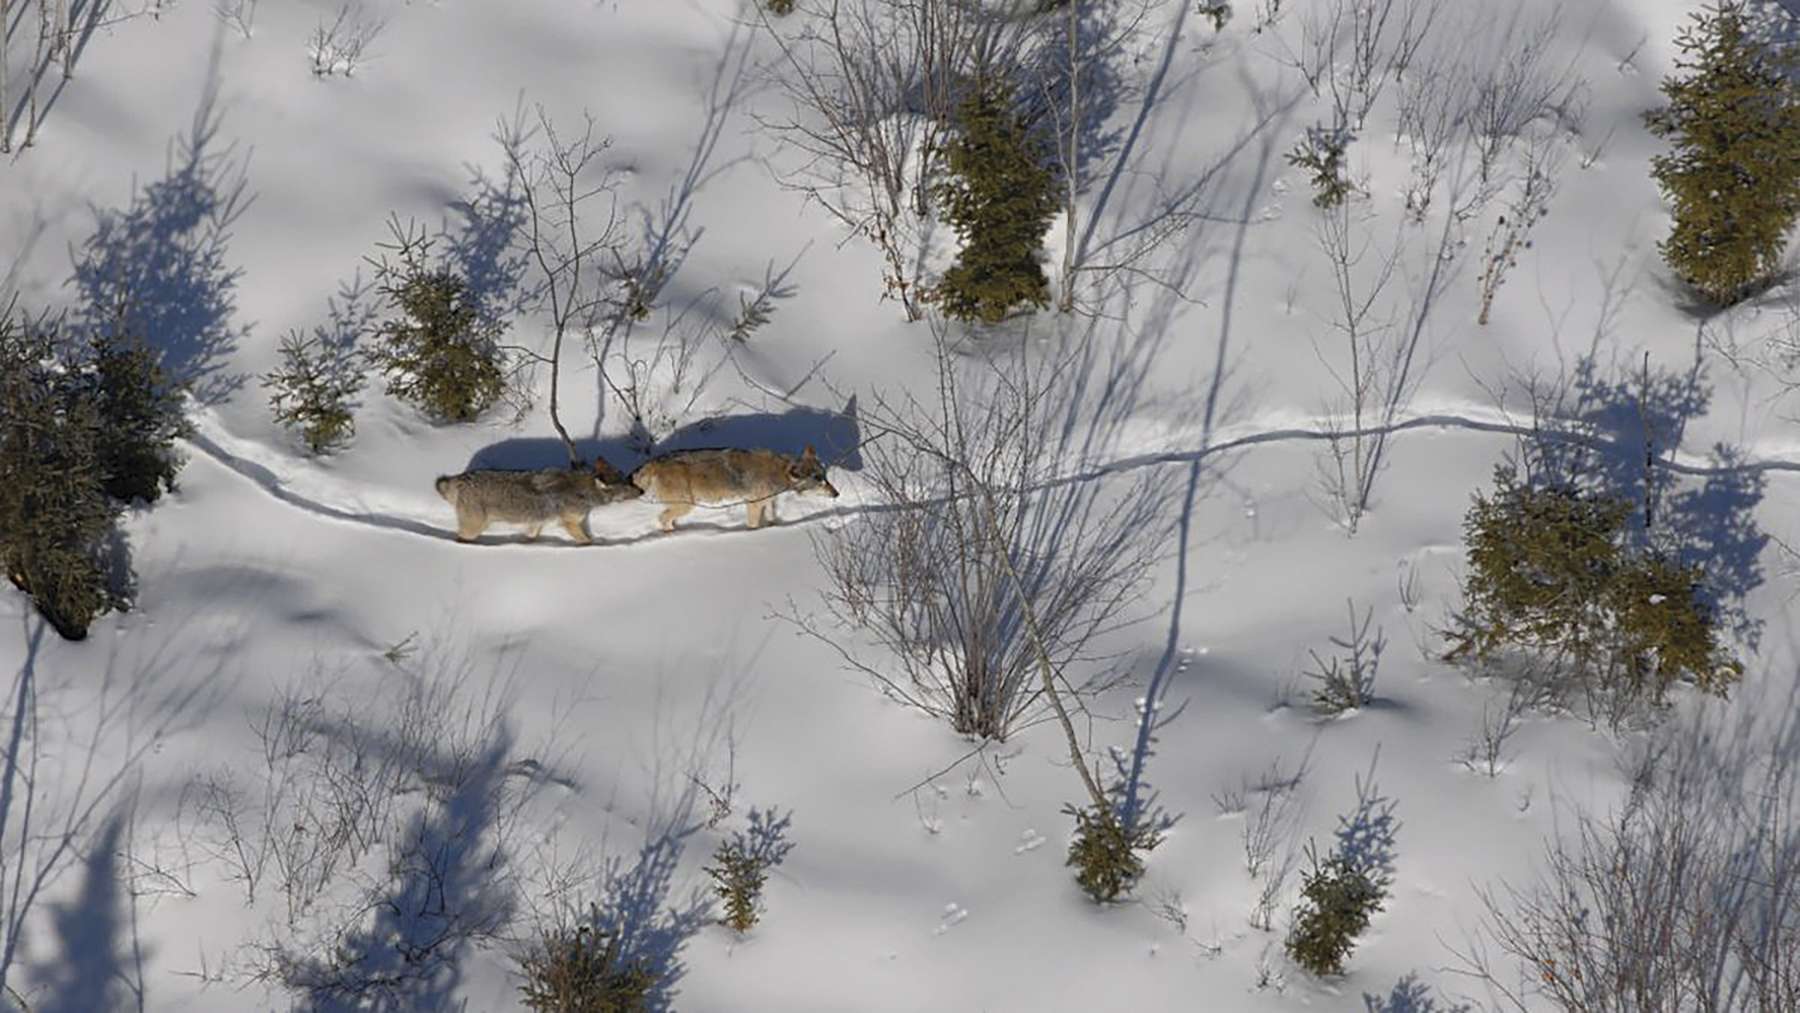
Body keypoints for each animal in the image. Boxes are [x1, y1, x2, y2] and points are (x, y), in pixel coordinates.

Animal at [437, 457, 648, 543]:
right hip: (474, 528)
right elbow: (587, 541)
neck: (584, 492)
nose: (642, 491)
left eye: (629, 480)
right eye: (627, 487)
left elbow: (529, 539)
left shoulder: (536, 524)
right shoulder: (569, 523)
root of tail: (461, 478)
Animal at [630, 448, 838, 536]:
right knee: (662, 519)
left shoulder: (767, 503)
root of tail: (653, 462)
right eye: (819, 481)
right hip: (685, 506)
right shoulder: (753, 505)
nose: (837, 494)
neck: (779, 473)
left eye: (825, 478)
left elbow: (770, 519)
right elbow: (753, 526)